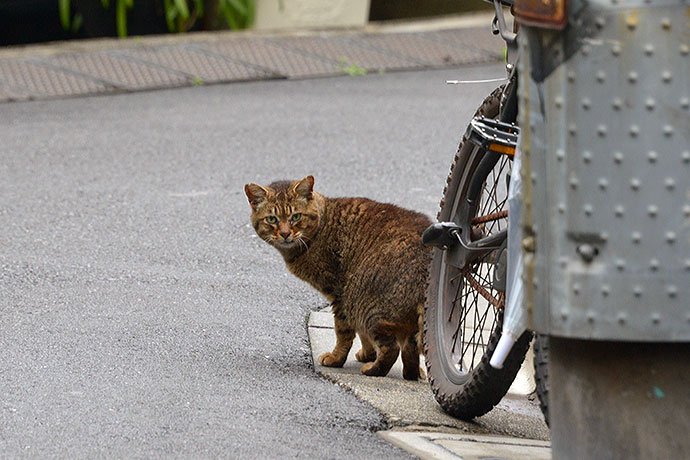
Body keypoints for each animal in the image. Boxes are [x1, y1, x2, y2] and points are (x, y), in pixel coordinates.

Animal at [245, 174, 430, 380]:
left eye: (296, 216)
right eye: (272, 219)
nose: (285, 233)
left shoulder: (339, 295)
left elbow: (344, 332)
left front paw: (336, 359)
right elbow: (361, 334)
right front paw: (367, 354)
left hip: (369, 307)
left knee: (392, 348)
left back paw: (373, 370)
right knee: (410, 348)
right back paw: (411, 373)